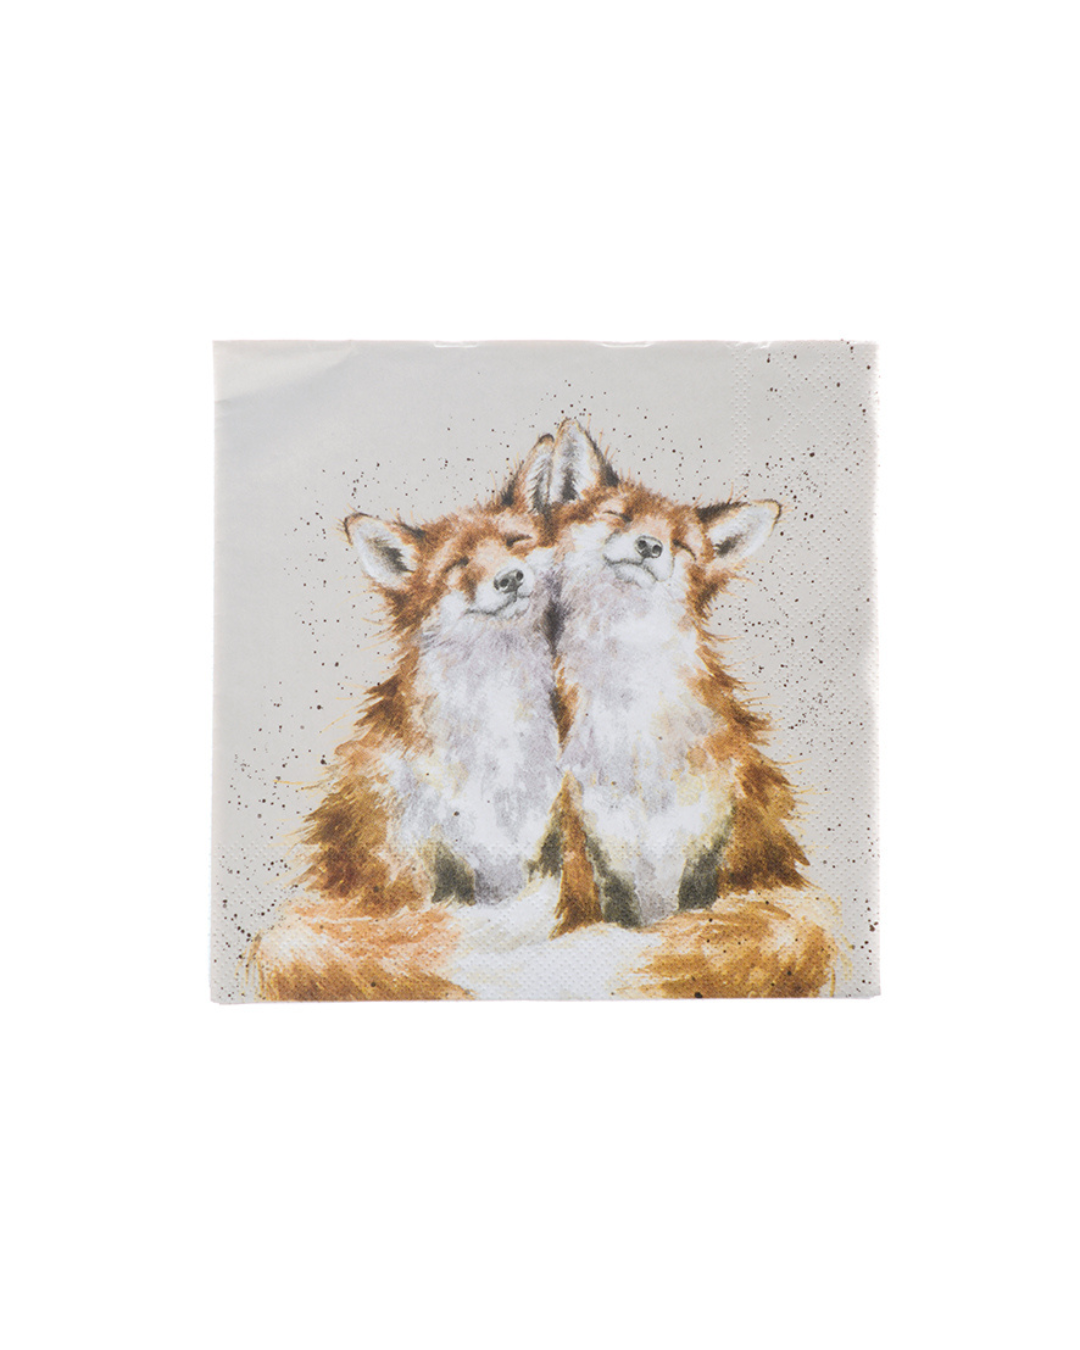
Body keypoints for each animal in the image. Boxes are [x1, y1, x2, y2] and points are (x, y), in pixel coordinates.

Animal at [529, 419, 841, 997]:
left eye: (682, 544)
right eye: (619, 515)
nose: (650, 545)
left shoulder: (713, 838)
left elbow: (699, 920)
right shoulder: (598, 841)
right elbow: (614, 918)